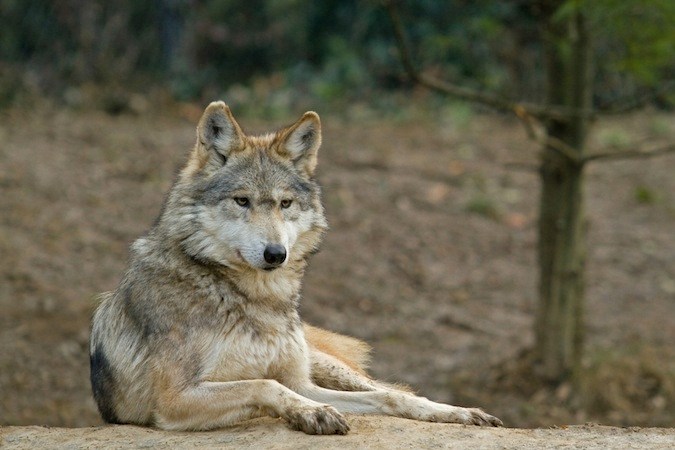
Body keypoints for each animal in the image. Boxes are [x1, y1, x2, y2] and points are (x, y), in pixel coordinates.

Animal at [89, 101, 502, 434]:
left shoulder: (301, 382)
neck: (258, 302)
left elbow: (377, 397)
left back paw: (460, 412)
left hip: (328, 366)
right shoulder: (174, 399)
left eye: (285, 203)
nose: (276, 254)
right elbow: (264, 385)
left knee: (392, 390)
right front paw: (313, 414)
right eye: (242, 201)